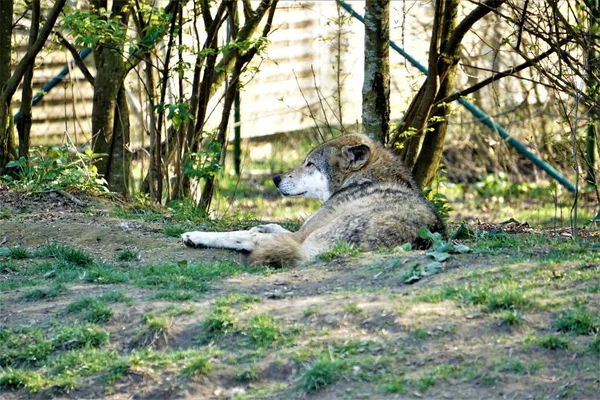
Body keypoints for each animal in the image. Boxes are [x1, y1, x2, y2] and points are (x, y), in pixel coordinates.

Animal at [182, 133, 446, 268]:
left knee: (244, 238)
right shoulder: (301, 230)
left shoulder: (300, 234)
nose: (275, 179)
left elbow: (251, 232)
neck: (362, 179)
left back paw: (196, 237)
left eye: (309, 164)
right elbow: (277, 225)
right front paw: (263, 225)